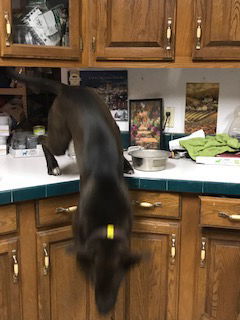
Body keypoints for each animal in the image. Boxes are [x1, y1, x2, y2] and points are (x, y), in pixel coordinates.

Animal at [9, 71, 140, 314]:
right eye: (94, 279)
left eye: (118, 281)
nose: (104, 309)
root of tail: (69, 88)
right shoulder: (78, 227)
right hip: (60, 134)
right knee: (43, 140)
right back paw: (52, 165)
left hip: (111, 124)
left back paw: (126, 164)